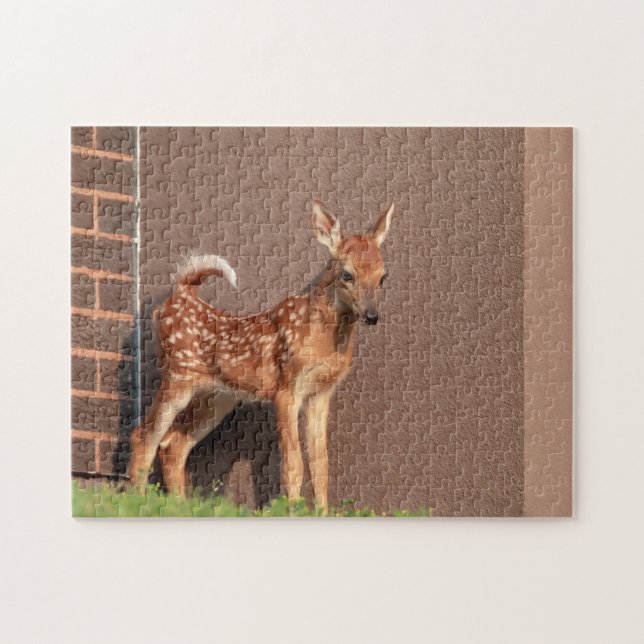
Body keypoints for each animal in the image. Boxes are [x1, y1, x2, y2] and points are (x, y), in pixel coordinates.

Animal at [127, 200, 395, 513]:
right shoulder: (286, 388)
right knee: (144, 436)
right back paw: (138, 501)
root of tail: (179, 295)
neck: (323, 338)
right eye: (347, 274)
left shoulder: (321, 392)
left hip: (218, 397)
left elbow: (321, 465)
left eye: (383, 276)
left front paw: (322, 514)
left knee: (173, 443)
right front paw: (292, 512)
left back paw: (179, 507)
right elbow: (293, 464)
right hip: (178, 377)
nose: (372, 316)